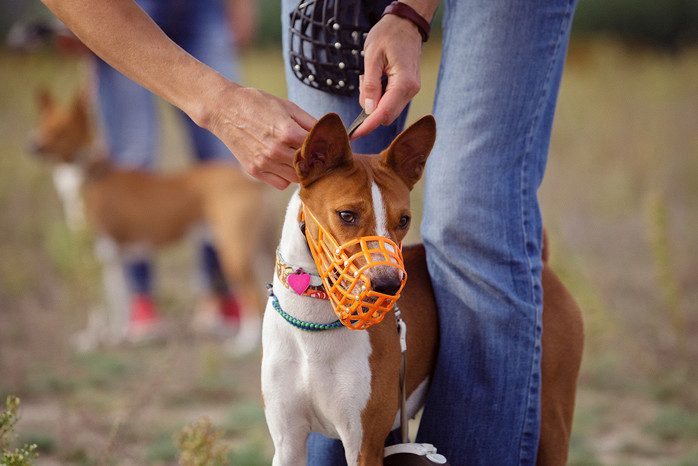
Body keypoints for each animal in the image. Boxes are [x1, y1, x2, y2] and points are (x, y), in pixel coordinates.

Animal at [31, 89, 268, 354]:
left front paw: (96, 341)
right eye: (41, 125)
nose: (32, 145)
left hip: (233, 254)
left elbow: (101, 306)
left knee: (253, 297)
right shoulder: (113, 260)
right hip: (261, 248)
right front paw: (116, 336)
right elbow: (118, 304)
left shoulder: (100, 256)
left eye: (61, 130)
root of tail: (247, 181)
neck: (90, 175)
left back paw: (243, 344)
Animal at [260, 114, 580, 466]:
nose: (387, 285)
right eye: (346, 215)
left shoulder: (364, 446)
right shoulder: (288, 443)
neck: (313, 327)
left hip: (552, 419)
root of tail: (543, 267)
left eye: (404, 220)